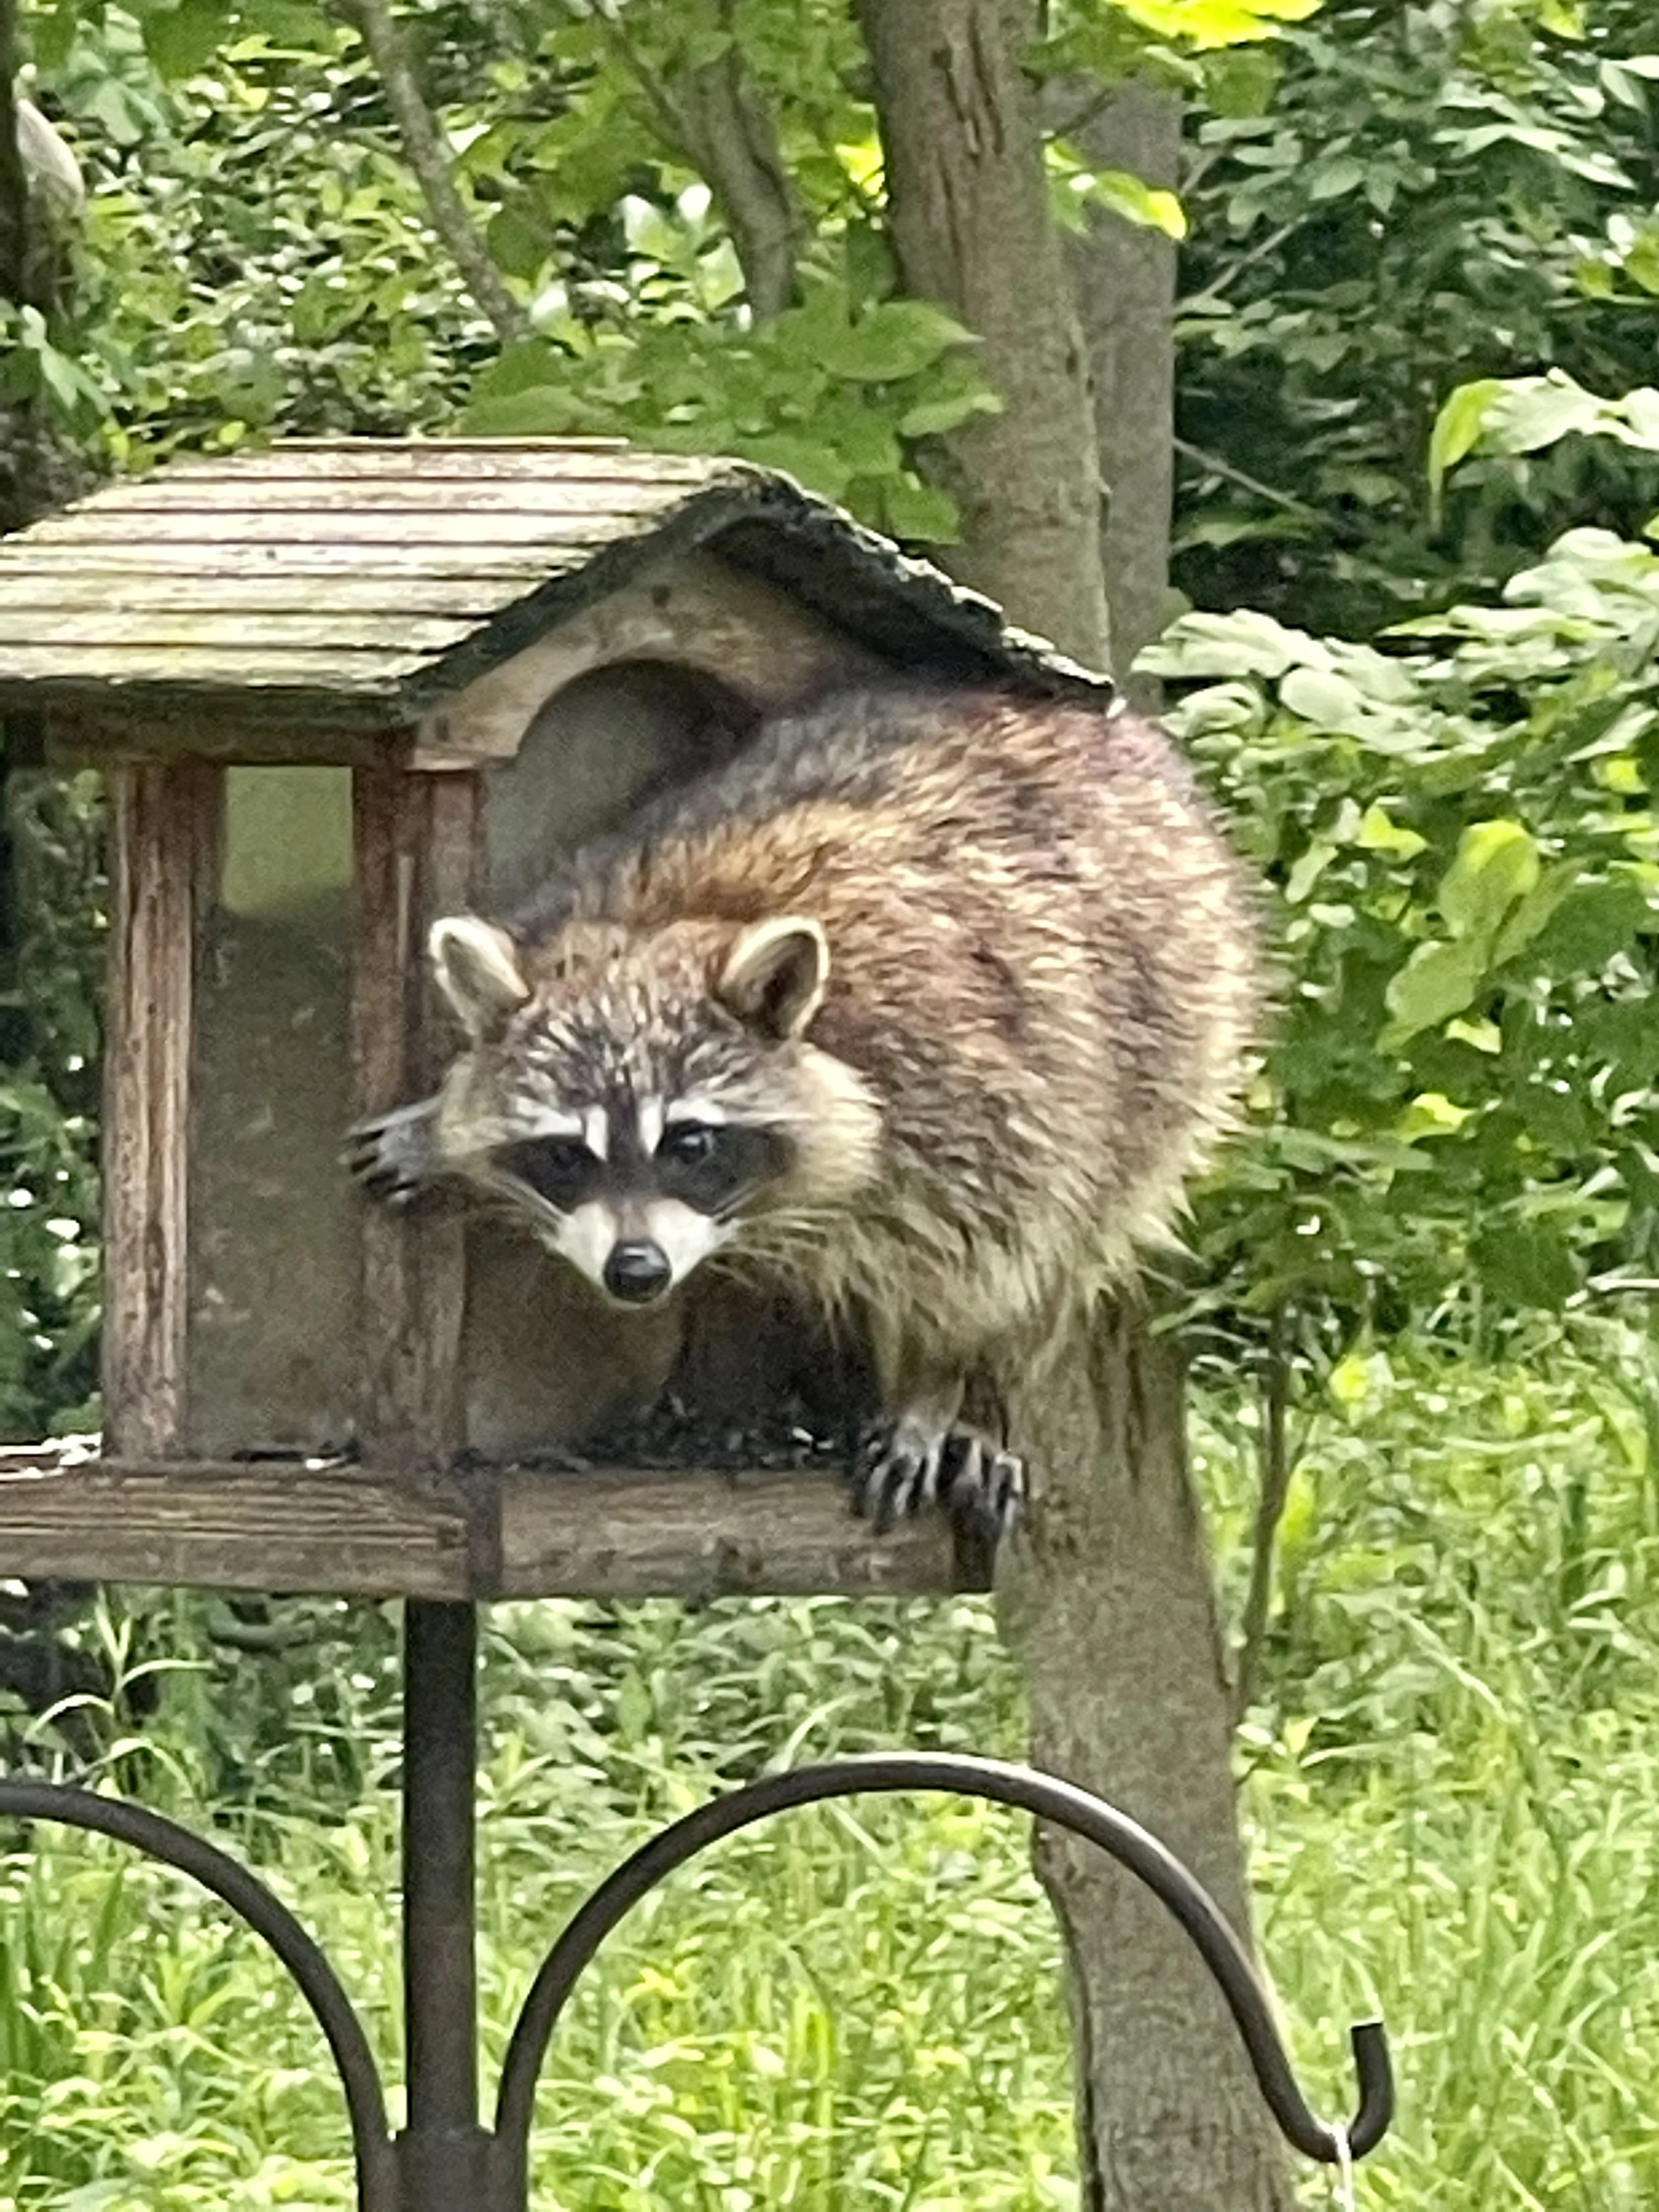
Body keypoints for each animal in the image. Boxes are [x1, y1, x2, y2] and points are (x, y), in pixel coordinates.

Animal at [348, 684, 1261, 1540]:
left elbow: (988, 1264)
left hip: (1174, 1049)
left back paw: (981, 1407)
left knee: (1072, 1242)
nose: (636, 1271)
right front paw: (436, 1131)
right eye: (567, 1154)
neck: (664, 933)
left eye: (690, 1144)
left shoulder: (976, 1101)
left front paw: (937, 1390)